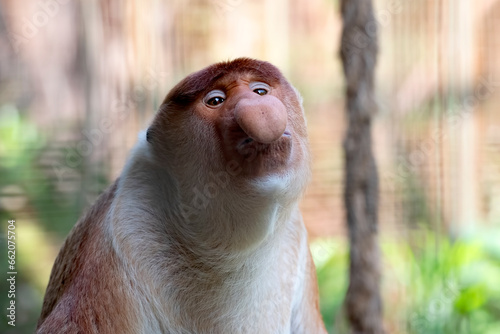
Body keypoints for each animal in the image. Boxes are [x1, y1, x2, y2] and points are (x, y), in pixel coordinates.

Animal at [38, 58, 328, 332]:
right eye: (215, 100)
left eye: (260, 90)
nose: (259, 104)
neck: (229, 251)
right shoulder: (121, 239)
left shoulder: (294, 237)